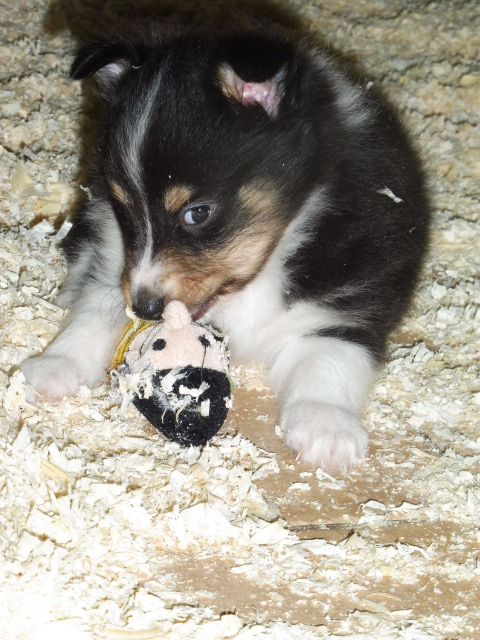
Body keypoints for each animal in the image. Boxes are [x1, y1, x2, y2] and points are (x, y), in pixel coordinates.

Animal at [21, 28, 429, 471]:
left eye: (197, 213)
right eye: (123, 208)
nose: (145, 310)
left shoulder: (354, 299)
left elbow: (328, 359)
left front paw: (327, 431)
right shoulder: (116, 257)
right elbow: (92, 317)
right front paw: (52, 369)